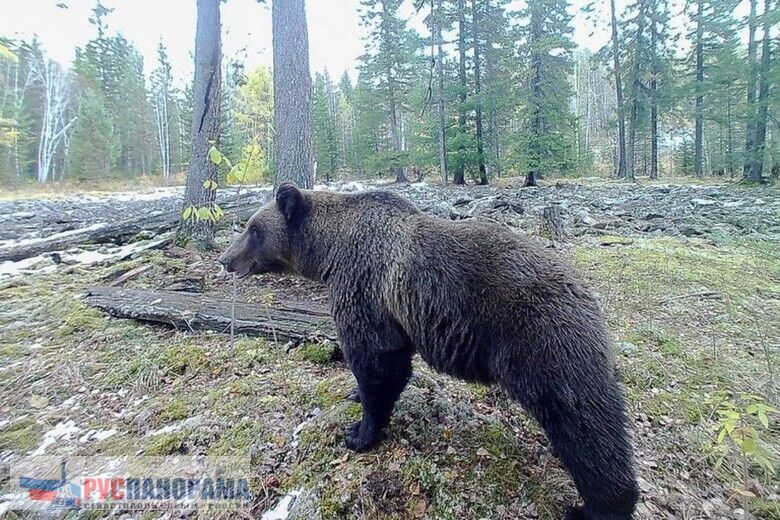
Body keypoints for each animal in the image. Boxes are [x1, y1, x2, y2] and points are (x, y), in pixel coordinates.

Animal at [219, 182, 640, 516]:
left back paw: (598, 506)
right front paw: (354, 394)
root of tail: (584, 293)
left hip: (540, 341)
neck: (330, 252)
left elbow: (379, 361)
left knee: (583, 421)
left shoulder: (365, 287)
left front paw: (358, 433)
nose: (225, 259)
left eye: (252, 228)